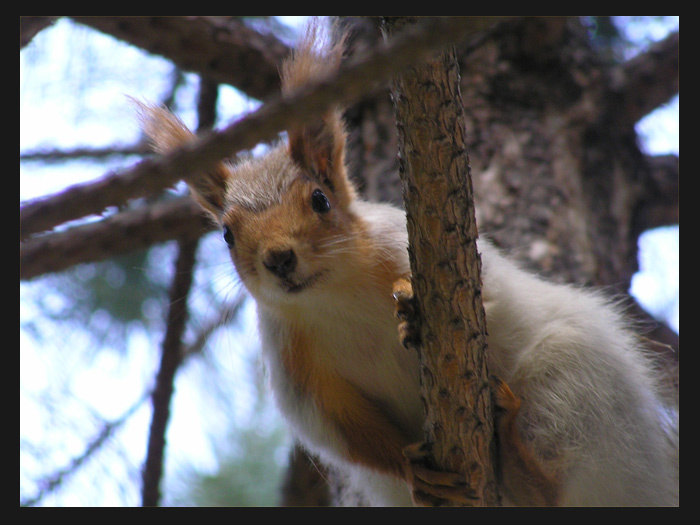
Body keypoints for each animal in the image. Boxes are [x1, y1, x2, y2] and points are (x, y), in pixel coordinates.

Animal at [136, 20, 678, 506]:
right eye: (227, 234)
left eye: (320, 200)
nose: (278, 258)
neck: (335, 297)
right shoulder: (298, 372)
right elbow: (346, 433)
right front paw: (417, 472)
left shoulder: (403, 246)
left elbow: (487, 300)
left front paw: (413, 310)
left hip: (572, 384)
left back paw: (518, 452)